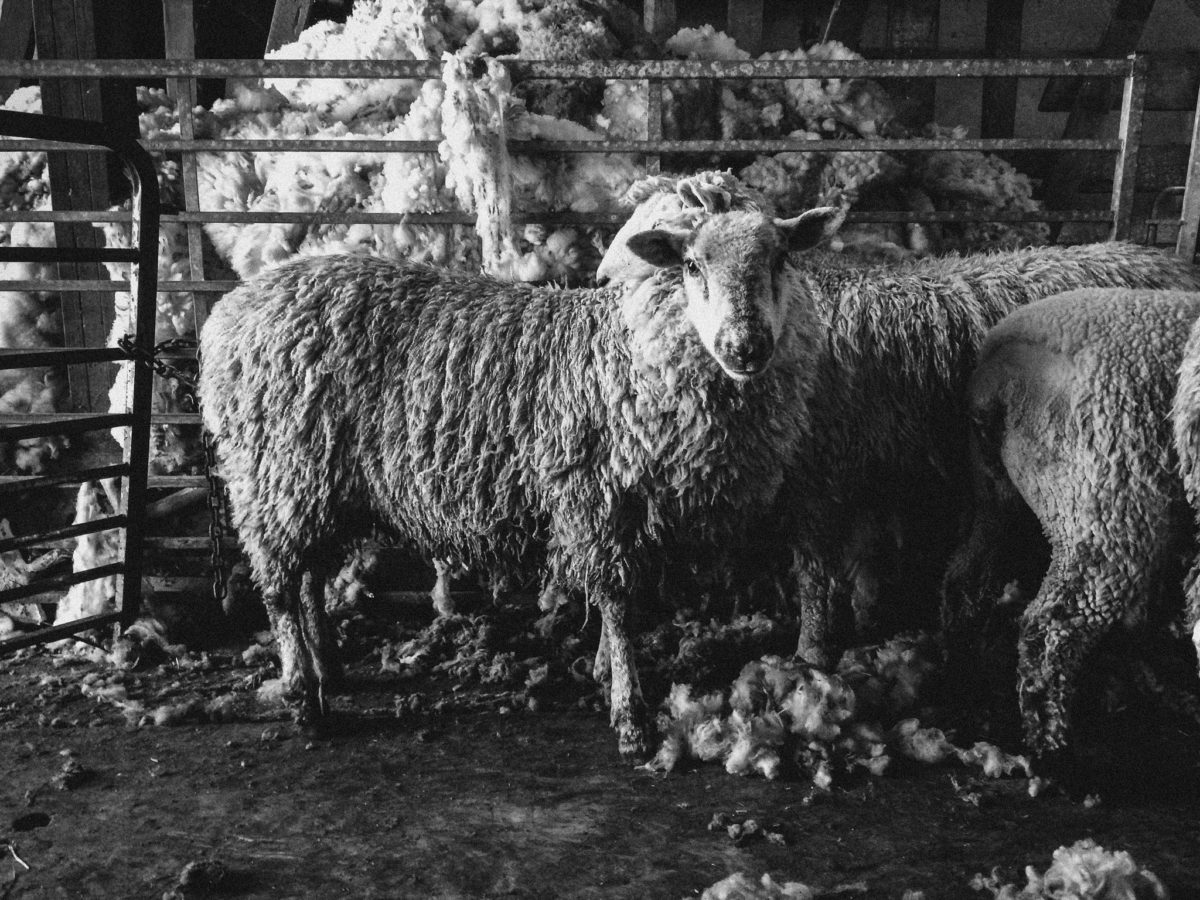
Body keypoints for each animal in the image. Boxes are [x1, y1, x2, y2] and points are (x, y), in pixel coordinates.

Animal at [198, 203, 843, 760]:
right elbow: (618, 605)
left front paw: (604, 672)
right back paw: (303, 698)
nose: (745, 346)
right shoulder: (595, 497)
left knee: (307, 574)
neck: (628, 356)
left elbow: (617, 605)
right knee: (280, 585)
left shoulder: (623, 510)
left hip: (314, 484)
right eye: (691, 266)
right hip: (276, 467)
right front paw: (630, 718)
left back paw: (326, 665)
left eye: (780, 259)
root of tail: (233, 309)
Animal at [615, 178, 1200, 668]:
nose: (744, 346)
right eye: (691, 264)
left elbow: (815, 576)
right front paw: (862, 616)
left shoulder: (822, 477)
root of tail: (1163, 259)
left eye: (781, 258)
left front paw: (811, 652)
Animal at [945, 289, 1200, 760]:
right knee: (1050, 624)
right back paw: (1051, 743)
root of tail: (995, 372)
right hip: (1104, 511)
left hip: (1000, 502)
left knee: (965, 583)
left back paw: (964, 684)